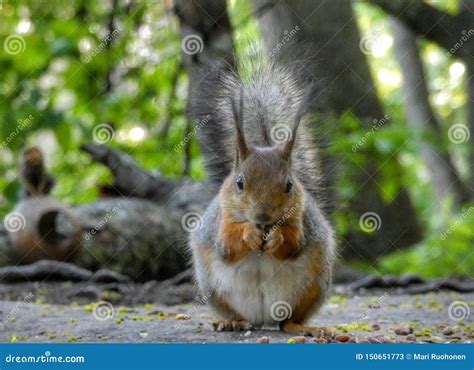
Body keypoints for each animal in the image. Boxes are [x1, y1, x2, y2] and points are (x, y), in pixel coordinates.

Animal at [187, 60, 336, 336]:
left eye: (289, 185)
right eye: (239, 183)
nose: (263, 216)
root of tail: (263, 319)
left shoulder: (300, 219)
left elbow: (294, 245)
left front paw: (277, 237)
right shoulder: (222, 220)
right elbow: (227, 247)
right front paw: (249, 234)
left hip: (313, 288)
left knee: (288, 320)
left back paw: (303, 327)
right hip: (214, 291)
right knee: (238, 314)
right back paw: (232, 322)